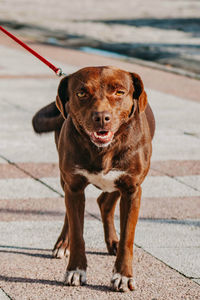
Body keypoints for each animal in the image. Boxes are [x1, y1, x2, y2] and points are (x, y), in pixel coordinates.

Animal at [32, 65, 155, 290]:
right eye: (81, 93)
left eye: (119, 92)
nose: (101, 117)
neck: (102, 149)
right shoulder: (74, 186)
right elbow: (77, 231)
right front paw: (75, 270)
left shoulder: (132, 189)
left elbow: (128, 237)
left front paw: (123, 275)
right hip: (66, 180)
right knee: (71, 213)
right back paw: (63, 244)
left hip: (120, 183)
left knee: (105, 202)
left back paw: (112, 242)